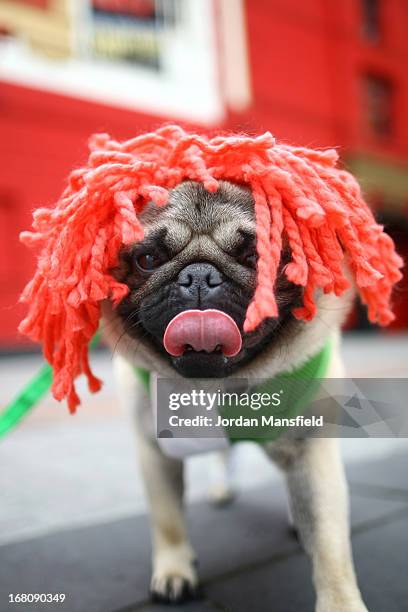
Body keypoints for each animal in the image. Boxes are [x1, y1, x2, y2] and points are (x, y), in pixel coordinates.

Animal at [101, 179, 366, 608]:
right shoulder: (155, 451)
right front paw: (175, 571)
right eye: (147, 259)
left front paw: (342, 603)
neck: (222, 385)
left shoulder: (312, 450)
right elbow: (167, 519)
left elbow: (329, 544)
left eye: (256, 256)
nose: (198, 276)